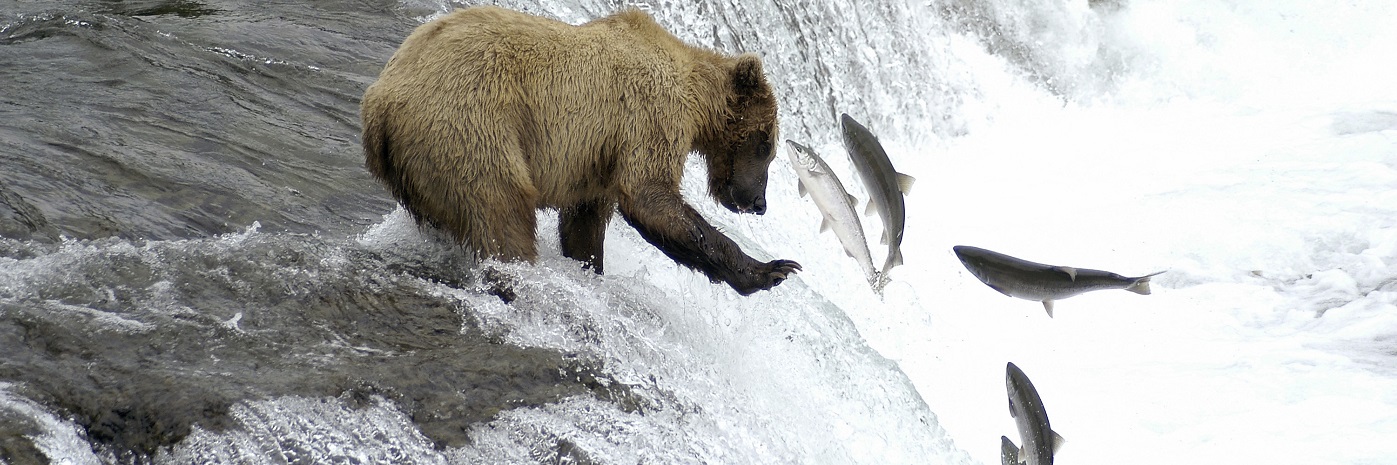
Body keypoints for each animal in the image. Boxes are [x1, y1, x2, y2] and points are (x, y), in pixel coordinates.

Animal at [357, 6, 799, 293]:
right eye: (766, 144)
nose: (758, 202)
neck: (695, 101)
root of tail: (379, 103)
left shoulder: (598, 159)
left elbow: (584, 223)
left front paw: (589, 266)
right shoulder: (649, 112)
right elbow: (649, 196)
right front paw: (771, 269)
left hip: (422, 166)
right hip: (471, 125)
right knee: (503, 209)